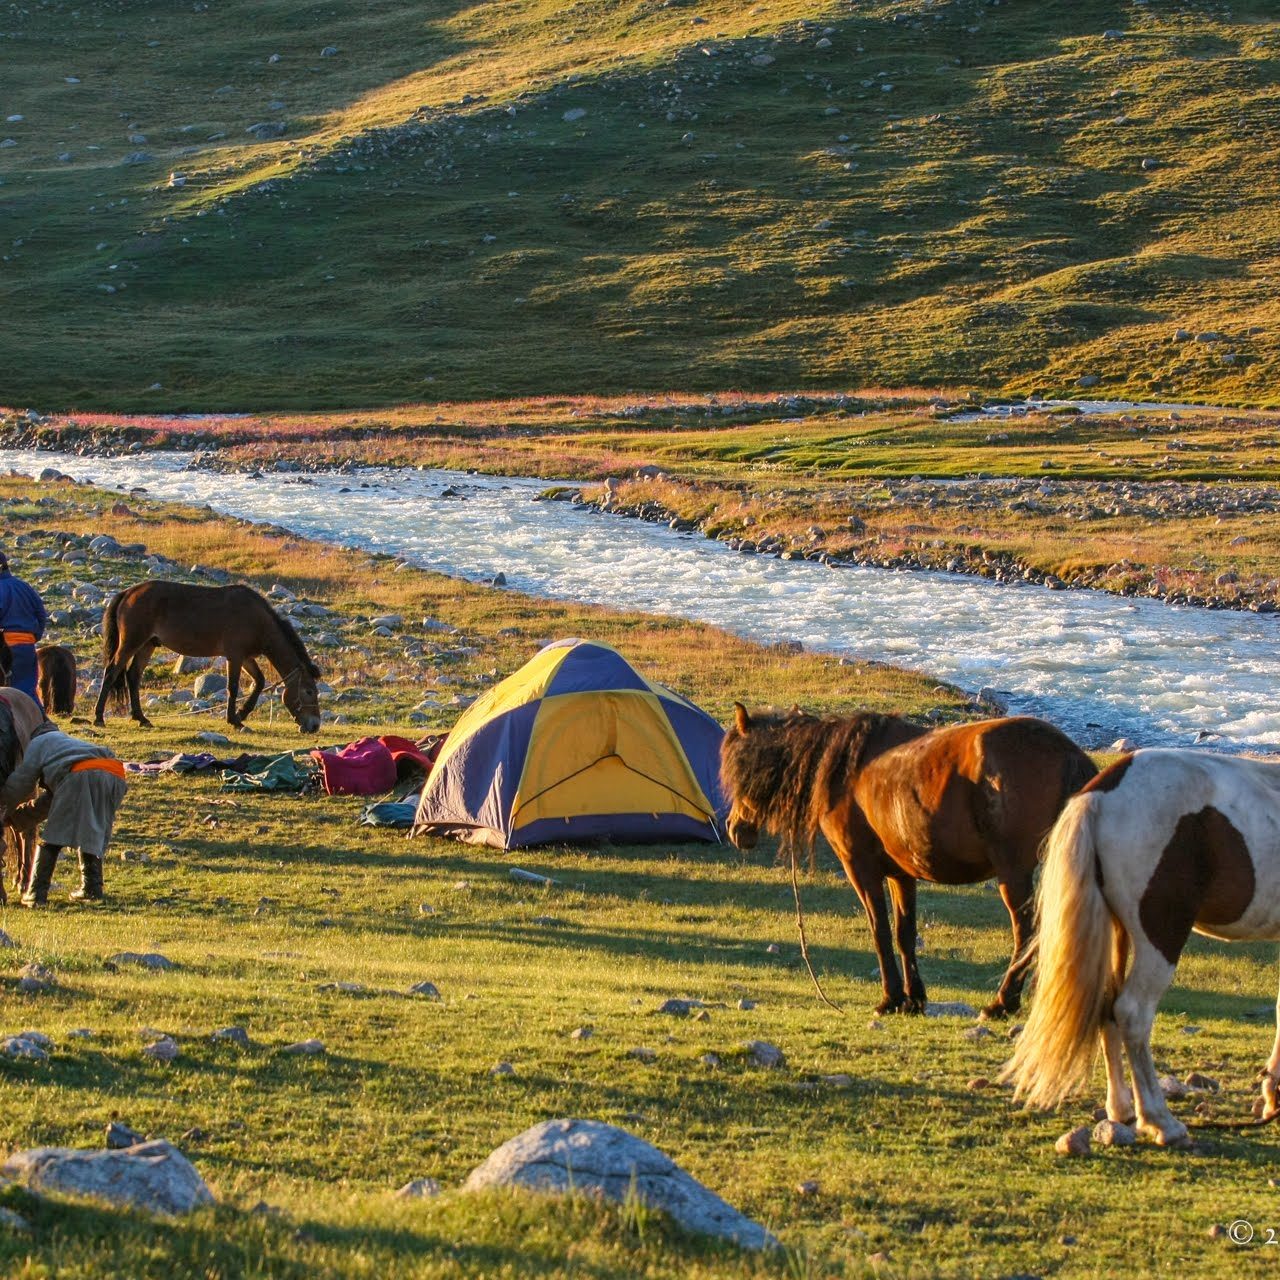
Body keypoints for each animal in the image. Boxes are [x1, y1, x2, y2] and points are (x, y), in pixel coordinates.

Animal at [93, 581, 322, 734]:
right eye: (309, 691)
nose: (315, 725)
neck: (259, 620)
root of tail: (128, 592)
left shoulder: (246, 657)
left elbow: (259, 682)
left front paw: (241, 713)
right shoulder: (235, 656)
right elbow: (233, 687)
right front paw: (234, 720)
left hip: (147, 644)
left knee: (133, 676)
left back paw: (141, 718)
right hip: (132, 642)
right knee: (112, 671)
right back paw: (99, 717)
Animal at [720, 705, 1097, 1018]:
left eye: (739, 769)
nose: (736, 829)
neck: (844, 770)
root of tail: (1069, 754)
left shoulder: (861, 868)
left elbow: (880, 931)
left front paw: (890, 999)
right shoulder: (901, 875)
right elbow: (904, 934)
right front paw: (913, 998)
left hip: (1013, 875)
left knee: (1026, 932)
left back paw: (1003, 1002)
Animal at [1002, 749, 1280, 1147]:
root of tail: (1102, 792)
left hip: (1116, 933)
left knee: (1107, 1008)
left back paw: (1122, 1109)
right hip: (1159, 936)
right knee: (1133, 1013)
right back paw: (1160, 1121)